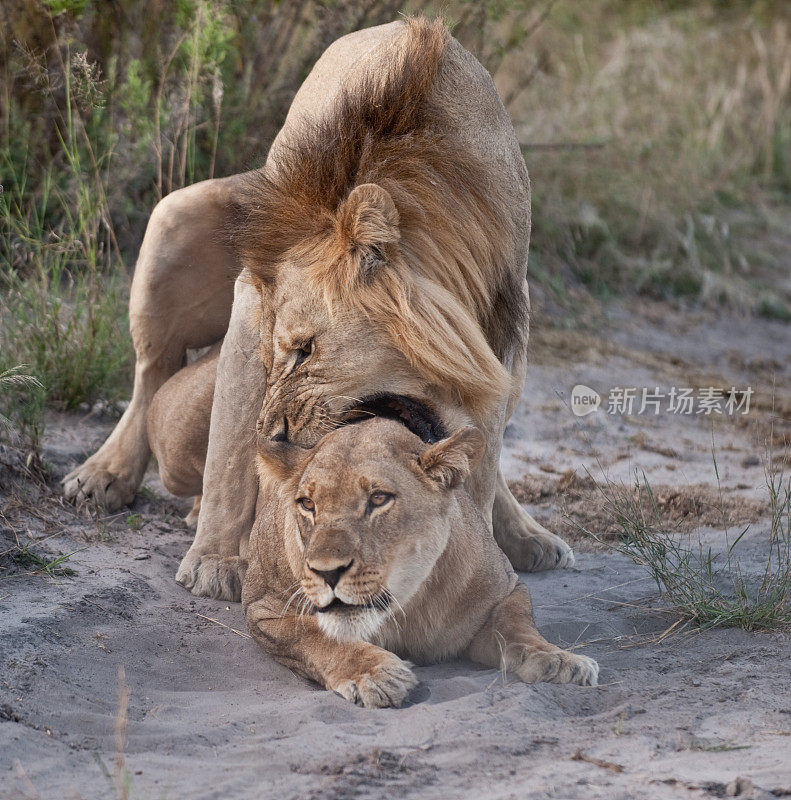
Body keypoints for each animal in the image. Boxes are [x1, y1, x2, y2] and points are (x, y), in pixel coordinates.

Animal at [60, 17, 568, 600]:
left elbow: (480, 462)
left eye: (307, 350)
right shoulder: (251, 302)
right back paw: (106, 475)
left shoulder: (504, 325)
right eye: (288, 349)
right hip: (175, 214)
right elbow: (231, 448)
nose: (275, 434)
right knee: (152, 372)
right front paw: (216, 561)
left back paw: (527, 536)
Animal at [244, 416, 596, 708]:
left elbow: (519, 626)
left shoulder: (504, 590)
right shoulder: (264, 610)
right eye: (307, 504)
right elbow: (319, 637)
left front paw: (559, 661)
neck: (404, 604)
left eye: (378, 499)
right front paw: (377, 675)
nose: (327, 572)